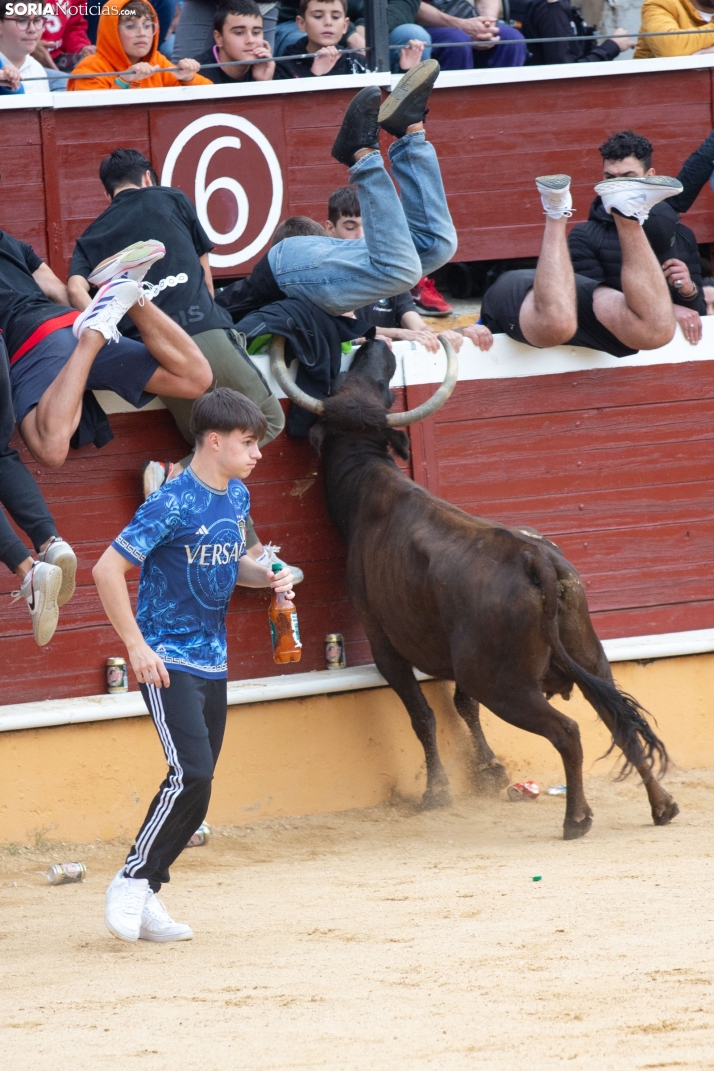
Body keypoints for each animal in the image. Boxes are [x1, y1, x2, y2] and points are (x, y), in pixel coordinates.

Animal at [274, 334, 680, 835]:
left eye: (379, 387)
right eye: (358, 383)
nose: (373, 342)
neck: (368, 479)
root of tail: (537, 560)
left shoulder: (384, 644)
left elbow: (423, 715)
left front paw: (436, 792)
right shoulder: (459, 658)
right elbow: (463, 705)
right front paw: (489, 771)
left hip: (505, 685)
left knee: (568, 732)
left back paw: (576, 818)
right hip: (588, 658)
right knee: (621, 721)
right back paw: (662, 806)